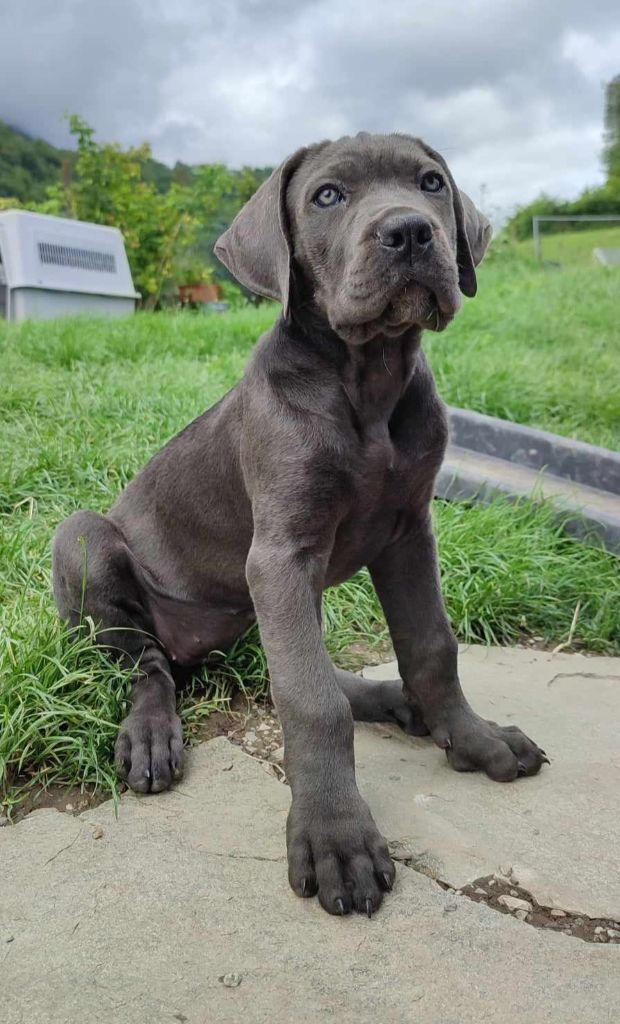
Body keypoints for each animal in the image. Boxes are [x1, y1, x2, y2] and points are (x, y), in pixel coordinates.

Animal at [53, 134, 545, 921]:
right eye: (327, 197)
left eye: (431, 184)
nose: (411, 232)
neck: (367, 379)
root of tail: (196, 651)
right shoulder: (281, 555)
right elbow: (310, 703)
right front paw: (335, 837)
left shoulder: (410, 534)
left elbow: (431, 647)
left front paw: (472, 737)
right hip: (87, 543)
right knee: (148, 666)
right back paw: (152, 734)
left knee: (291, 667)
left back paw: (393, 700)